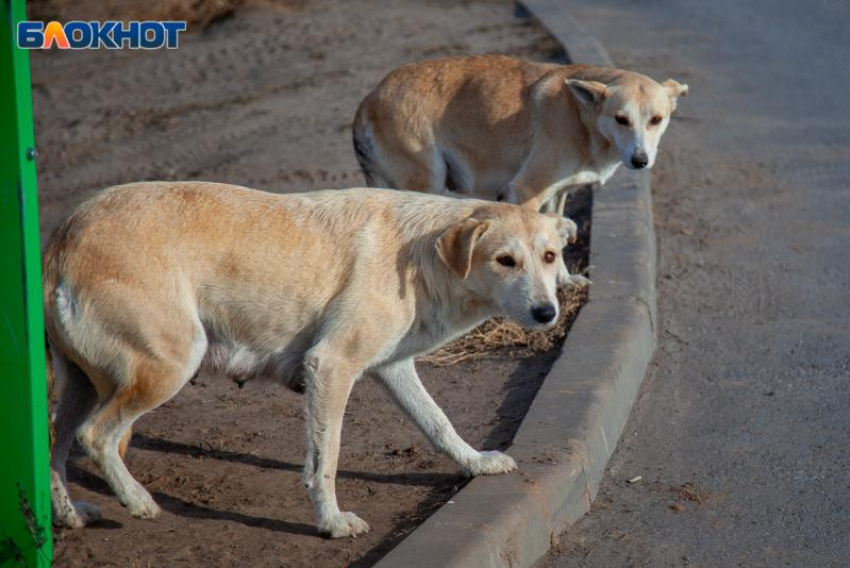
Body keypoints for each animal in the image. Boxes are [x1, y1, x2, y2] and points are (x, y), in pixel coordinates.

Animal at [43, 181, 580, 536]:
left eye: (550, 257)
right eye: (505, 261)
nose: (547, 313)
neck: (421, 254)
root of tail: (62, 239)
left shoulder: (392, 369)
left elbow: (438, 423)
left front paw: (476, 464)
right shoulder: (331, 367)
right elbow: (326, 458)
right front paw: (332, 522)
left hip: (82, 385)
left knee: (56, 443)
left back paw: (70, 516)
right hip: (169, 365)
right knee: (96, 436)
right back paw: (137, 501)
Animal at [352, 53, 688, 211]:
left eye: (656, 120)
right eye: (621, 119)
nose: (641, 160)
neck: (580, 117)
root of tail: (369, 98)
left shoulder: (556, 195)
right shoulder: (526, 192)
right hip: (427, 183)